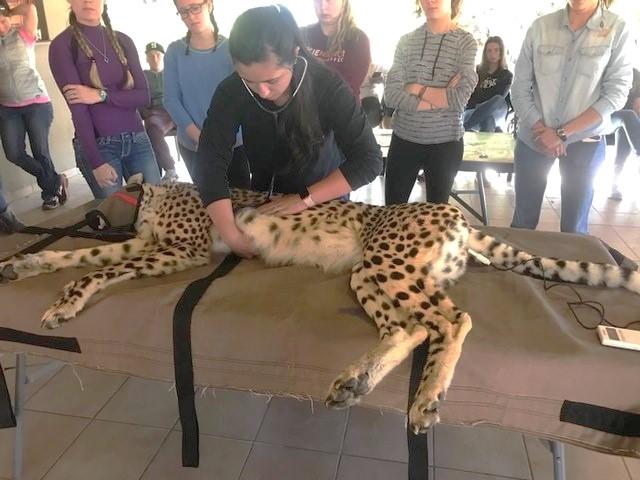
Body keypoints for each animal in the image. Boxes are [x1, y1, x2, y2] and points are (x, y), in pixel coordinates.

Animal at [1, 176, 640, 432]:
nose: (80, 213)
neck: (148, 196)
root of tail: (450, 210)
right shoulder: (146, 245)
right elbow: (82, 258)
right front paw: (26, 266)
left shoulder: (181, 252)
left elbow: (102, 266)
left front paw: (64, 299)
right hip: (370, 274)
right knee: (411, 328)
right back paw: (357, 382)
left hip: (385, 263)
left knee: (452, 318)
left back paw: (427, 397)